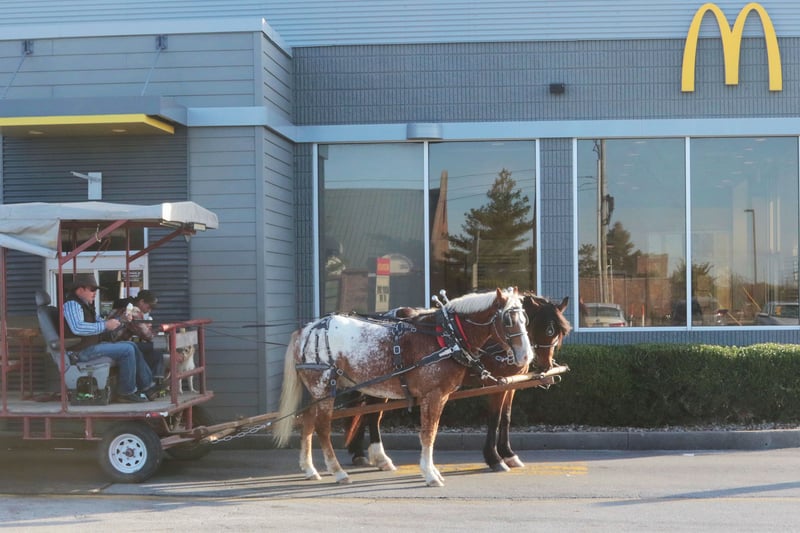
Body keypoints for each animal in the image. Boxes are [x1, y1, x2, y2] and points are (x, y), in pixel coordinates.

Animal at [273, 287, 533, 487]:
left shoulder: (442, 396)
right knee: (322, 428)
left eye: (525, 319)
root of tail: (306, 329)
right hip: (325, 388)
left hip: (316, 390)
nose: (526, 356)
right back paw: (338, 471)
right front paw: (430, 474)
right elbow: (428, 433)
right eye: (508, 320)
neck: (446, 336)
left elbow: (432, 432)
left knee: (307, 421)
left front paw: (432, 471)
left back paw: (310, 469)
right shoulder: (433, 395)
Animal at [344, 293, 571, 473]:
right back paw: (379, 457)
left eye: (561, 333)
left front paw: (508, 454)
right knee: (373, 416)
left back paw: (359, 453)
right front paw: (494, 458)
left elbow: (506, 417)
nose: (546, 365)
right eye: (550, 330)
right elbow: (495, 418)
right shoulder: (497, 384)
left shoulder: (511, 384)